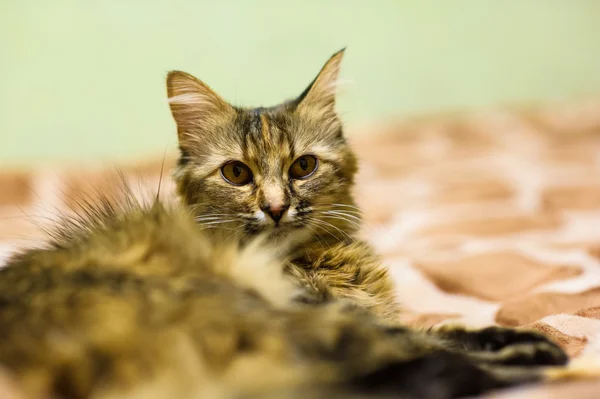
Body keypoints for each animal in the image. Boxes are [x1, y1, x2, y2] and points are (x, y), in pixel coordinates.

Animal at [0, 48, 568, 398]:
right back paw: (528, 364)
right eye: (236, 173)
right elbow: (429, 335)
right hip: (246, 307)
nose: (275, 207)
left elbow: (444, 328)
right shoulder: (330, 311)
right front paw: (529, 347)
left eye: (303, 167)